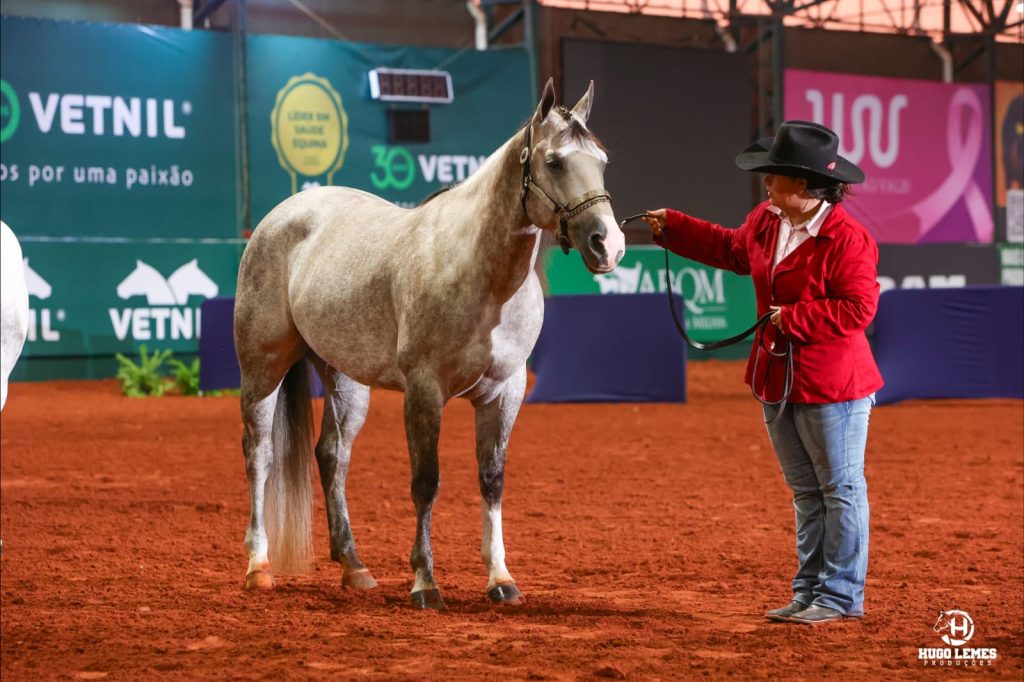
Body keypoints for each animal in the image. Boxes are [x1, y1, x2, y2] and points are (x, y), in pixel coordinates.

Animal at [234, 78, 622, 606]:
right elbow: (426, 482)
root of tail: (281, 217)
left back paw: (354, 566)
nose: (610, 245)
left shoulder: (506, 392)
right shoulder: (424, 391)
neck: (481, 275)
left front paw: (500, 579)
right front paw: (425, 581)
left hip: (345, 380)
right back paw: (259, 566)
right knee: (260, 454)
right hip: (263, 369)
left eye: (601, 161)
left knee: (332, 456)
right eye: (555, 161)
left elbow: (491, 480)